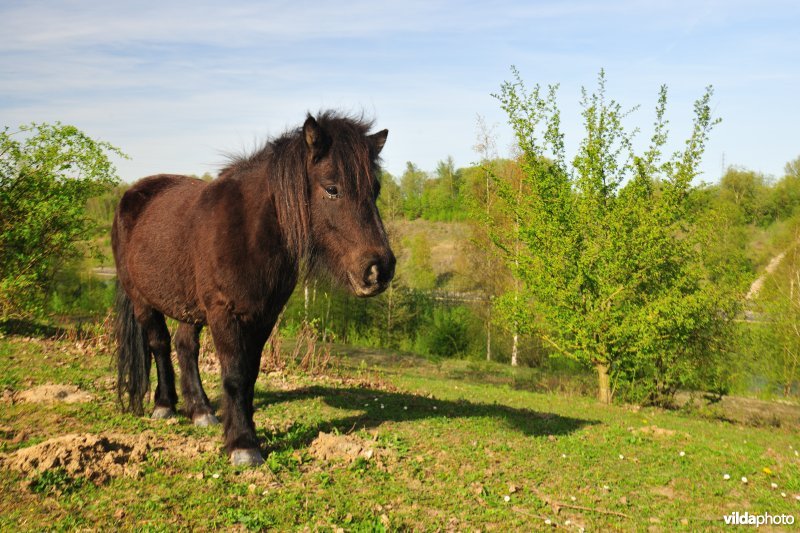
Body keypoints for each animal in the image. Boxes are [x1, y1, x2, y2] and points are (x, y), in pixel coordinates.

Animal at [114, 110, 396, 464]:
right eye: (332, 189)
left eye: (376, 189)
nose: (380, 269)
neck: (248, 231)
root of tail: (132, 194)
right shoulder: (224, 313)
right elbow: (234, 375)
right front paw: (243, 445)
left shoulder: (263, 316)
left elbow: (250, 374)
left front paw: (247, 432)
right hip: (143, 300)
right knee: (160, 345)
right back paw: (164, 405)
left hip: (189, 306)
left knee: (185, 347)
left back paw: (201, 411)